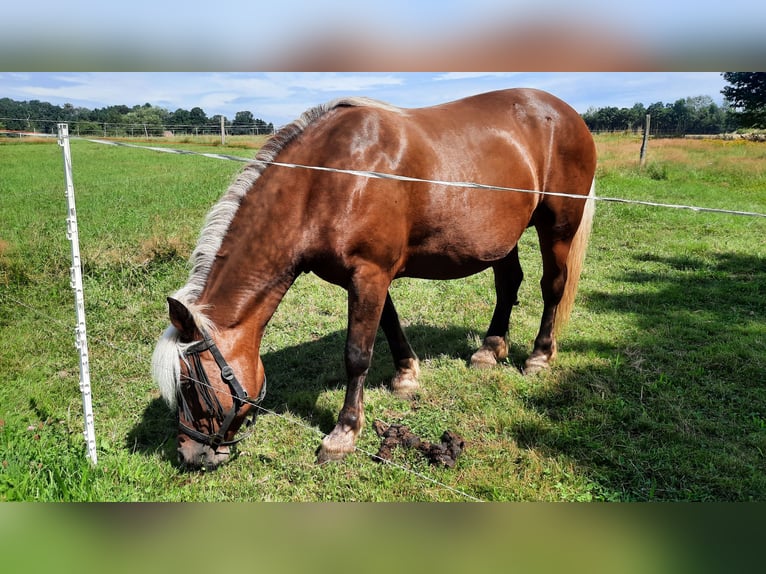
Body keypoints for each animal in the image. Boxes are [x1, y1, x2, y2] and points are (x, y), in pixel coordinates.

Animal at [152, 88, 600, 470]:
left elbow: (357, 354)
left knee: (552, 286)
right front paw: (406, 375)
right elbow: (389, 323)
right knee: (508, 284)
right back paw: (490, 350)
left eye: (191, 386)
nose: (190, 454)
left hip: (558, 227)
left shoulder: (369, 273)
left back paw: (539, 355)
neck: (326, 176)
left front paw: (344, 433)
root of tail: (567, 114)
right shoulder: (370, 276)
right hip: (502, 237)